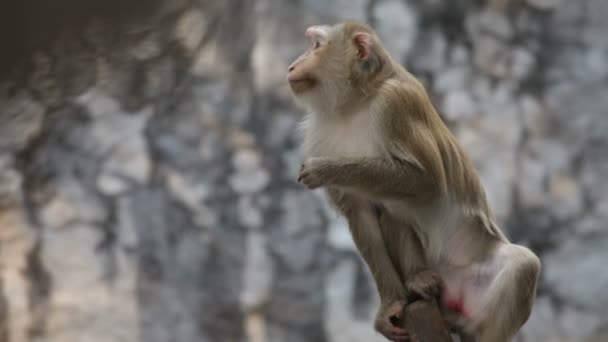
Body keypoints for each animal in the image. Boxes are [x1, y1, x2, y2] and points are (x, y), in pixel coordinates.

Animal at [288, 22, 540, 340]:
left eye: (316, 46)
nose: (292, 65)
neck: (355, 103)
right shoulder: (321, 134)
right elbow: (361, 212)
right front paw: (389, 306)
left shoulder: (395, 104)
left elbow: (426, 181)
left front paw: (326, 170)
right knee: (391, 212)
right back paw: (417, 281)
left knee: (523, 264)